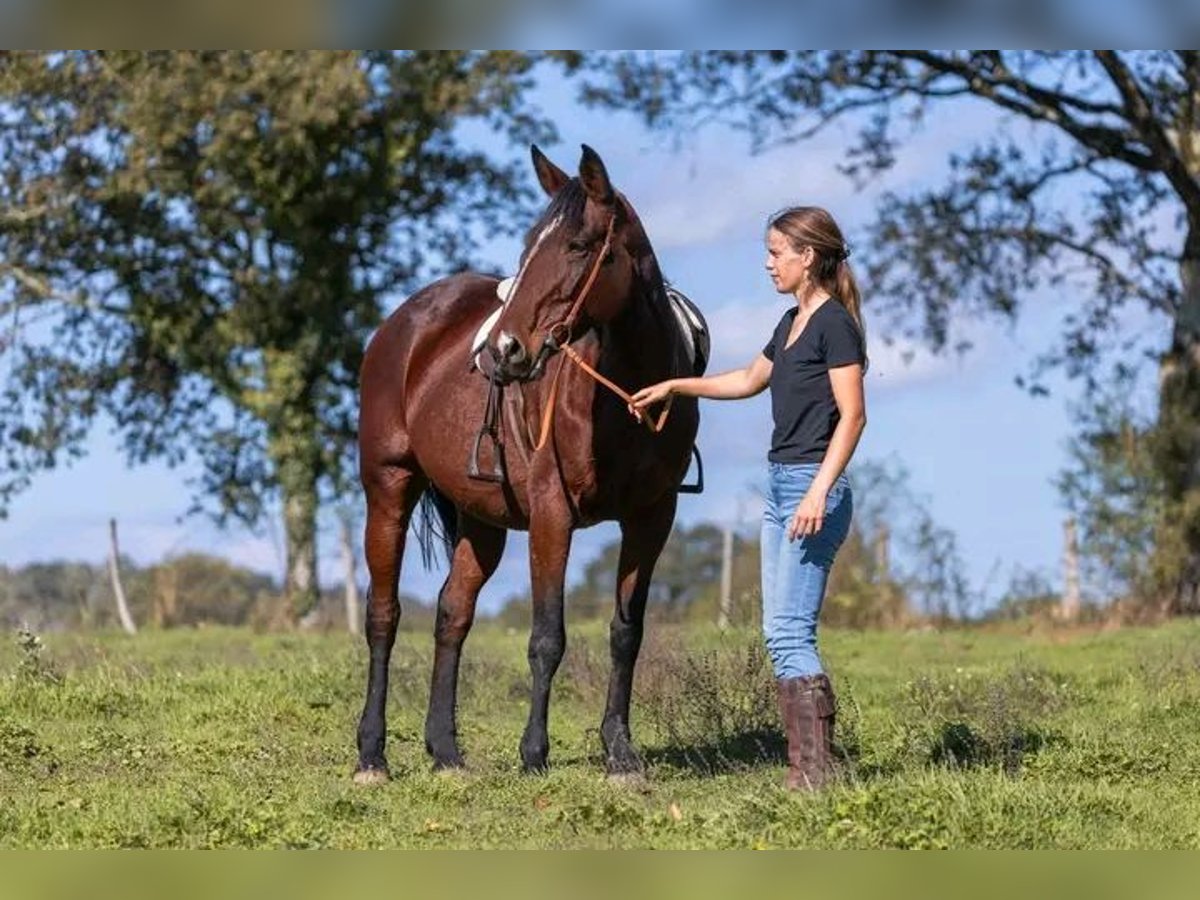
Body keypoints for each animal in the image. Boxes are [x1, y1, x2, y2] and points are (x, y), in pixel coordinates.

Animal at [350, 144, 700, 787]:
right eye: (529, 244)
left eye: (580, 246)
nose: (504, 351)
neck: (625, 393)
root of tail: (403, 323)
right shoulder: (552, 513)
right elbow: (547, 637)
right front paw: (534, 753)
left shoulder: (651, 518)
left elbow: (626, 632)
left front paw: (621, 753)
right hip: (388, 488)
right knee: (383, 616)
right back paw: (372, 755)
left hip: (482, 519)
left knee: (452, 614)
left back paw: (446, 751)